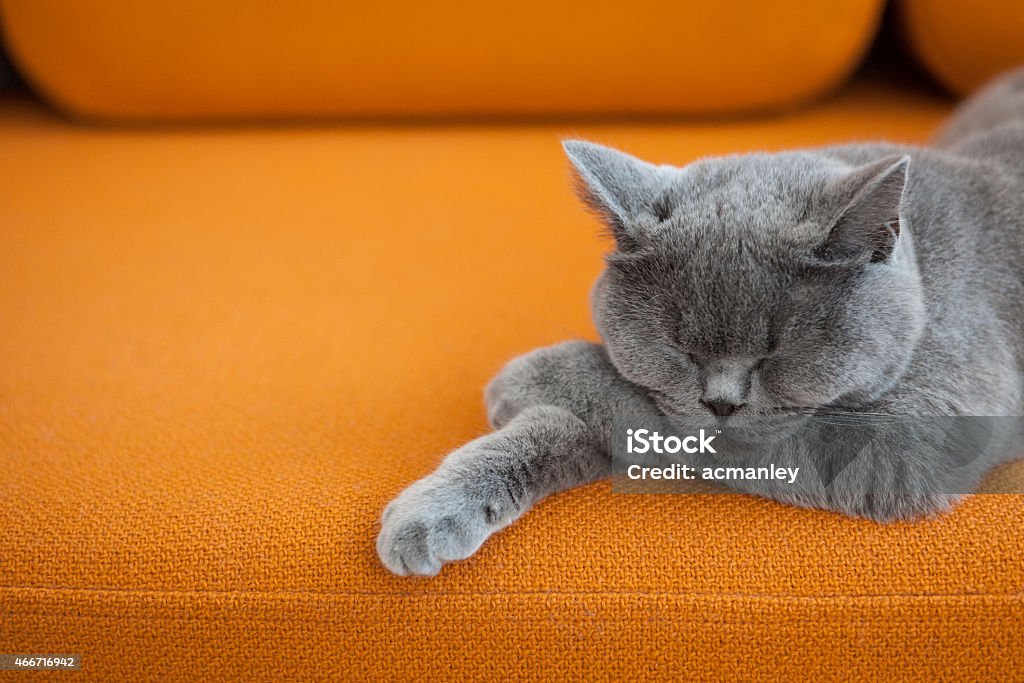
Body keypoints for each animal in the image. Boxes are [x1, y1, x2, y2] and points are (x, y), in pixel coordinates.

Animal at [376, 68, 1024, 577]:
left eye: (776, 352)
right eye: (679, 347)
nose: (721, 401)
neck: (928, 282)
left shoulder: (905, 438)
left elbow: (663, 420)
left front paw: (527, 376)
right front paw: (430, 513)